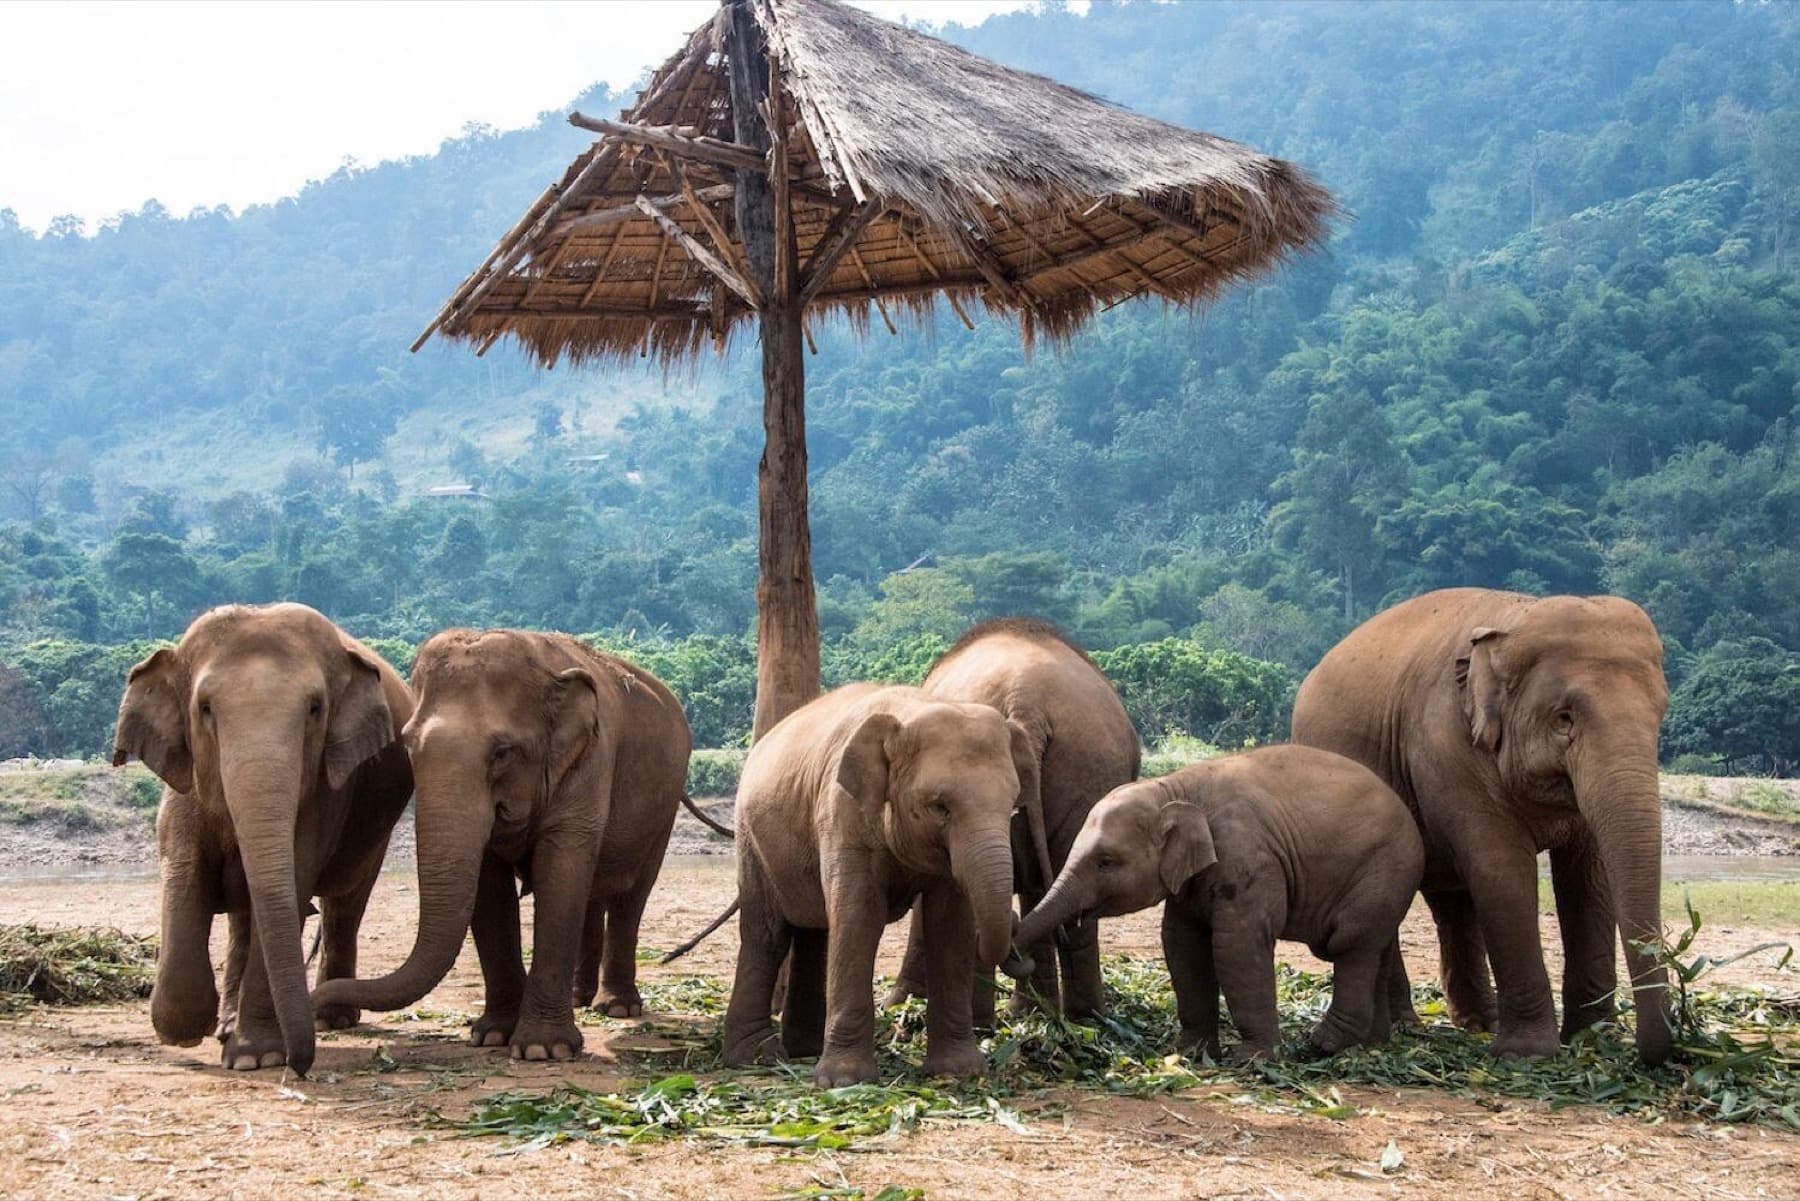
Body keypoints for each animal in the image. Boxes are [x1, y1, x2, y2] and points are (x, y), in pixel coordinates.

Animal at [111, 603, 414, 1075]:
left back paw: (331, 1020)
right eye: (205, 709)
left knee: (344, 903)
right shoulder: (185, 786)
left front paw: (256, 1057)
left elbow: (294, 876)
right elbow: (184, 871)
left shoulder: (325, 792)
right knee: (245, 915)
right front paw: (185, 1031)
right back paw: (226, 1025)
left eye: (315, 708)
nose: (299, 1068)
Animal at [312, 629, 692, 1062]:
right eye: (408, 745)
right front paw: (492, 1035)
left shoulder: (591, 763)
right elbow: (491, 888)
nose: (314, 1005)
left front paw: (543, 1049)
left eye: (502, 753)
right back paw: (579, 999)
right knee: (593, 894)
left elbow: (560, 876)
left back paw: (617, 1008)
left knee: (631, 896)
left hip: (665, 809)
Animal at [721, 683, 1035, 1086]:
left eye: (1012, 804)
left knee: (815, 931)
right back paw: (757, 1057)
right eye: (940, 807)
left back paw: (804, 1049)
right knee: (767, 935)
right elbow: (859, 916)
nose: (1014, 929)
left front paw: (959, 1072)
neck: (911, 709)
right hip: (751, 840)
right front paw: (845, 1081)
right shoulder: (844, 814)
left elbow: (950, 926)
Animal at [1007, 746, 1422, 1060]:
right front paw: (1188, 1053)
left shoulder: (1247, 861)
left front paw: (1252, 1059)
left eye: (1105, 862)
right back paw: (1371, 1043)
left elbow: (1237, 946)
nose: (1012, 930)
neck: (1173, 788)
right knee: (1378, 946)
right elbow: (1182, 944)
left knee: (1351, 944)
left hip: (1383, 871)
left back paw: (1322, 1046)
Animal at [1291, 588, 1672, 1064]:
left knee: (1452, 899)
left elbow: (1588, 878)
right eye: (1564, 717)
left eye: (1660, 715)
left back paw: (1478, 1024)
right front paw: (1528, 1053)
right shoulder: (1448, 747)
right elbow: (1501, 871)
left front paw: (1593, 1041)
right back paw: (1407, 1026)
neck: (1513, 618)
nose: (1658, 1051)